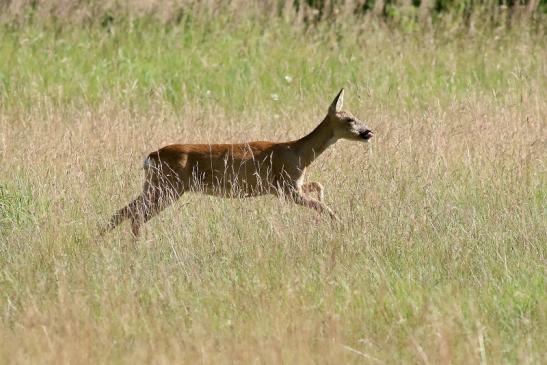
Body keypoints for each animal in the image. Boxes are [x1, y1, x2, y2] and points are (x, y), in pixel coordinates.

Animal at [103, 88, 374, 236]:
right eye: (349, 119)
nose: (368, 132)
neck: (299, 153)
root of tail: (150, 157)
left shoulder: (290, 185)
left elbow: (319, 187)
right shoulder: (285, 187)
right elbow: (324, 207)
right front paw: (341, 225)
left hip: (155, 184)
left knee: (123, 212)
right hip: (169, 186)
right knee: (135, 215)